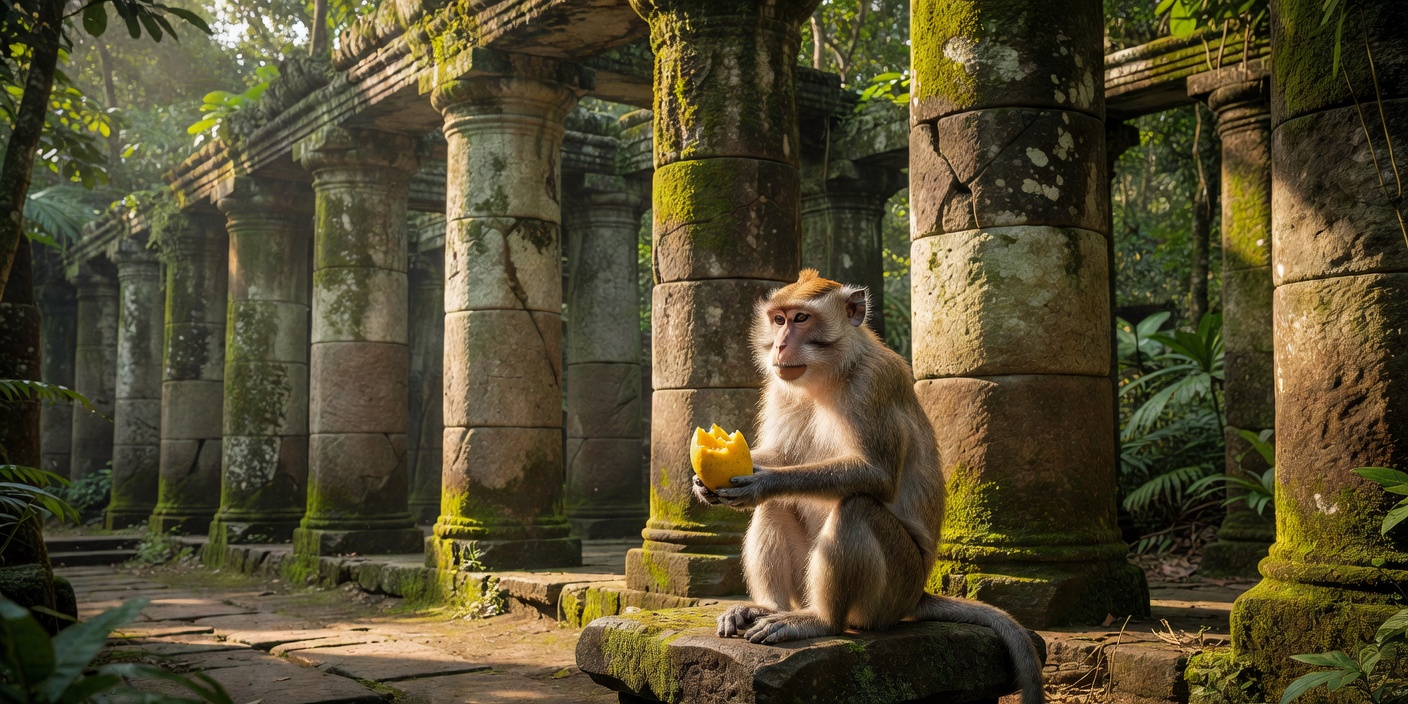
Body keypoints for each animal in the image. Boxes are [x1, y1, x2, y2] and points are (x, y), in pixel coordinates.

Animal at [691, 269, 1044, 704]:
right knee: (778, 507)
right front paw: (703, 485)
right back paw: (766, 608)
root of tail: (918, 595)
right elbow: (780, 453)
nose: (780, 344)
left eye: (801, 319)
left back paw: (819, 621)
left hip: (892, 591)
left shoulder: (874, 382)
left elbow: (876, 475)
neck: (830, 374)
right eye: (778, 319)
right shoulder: (779, 385)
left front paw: (763, 482)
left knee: (856, 507)